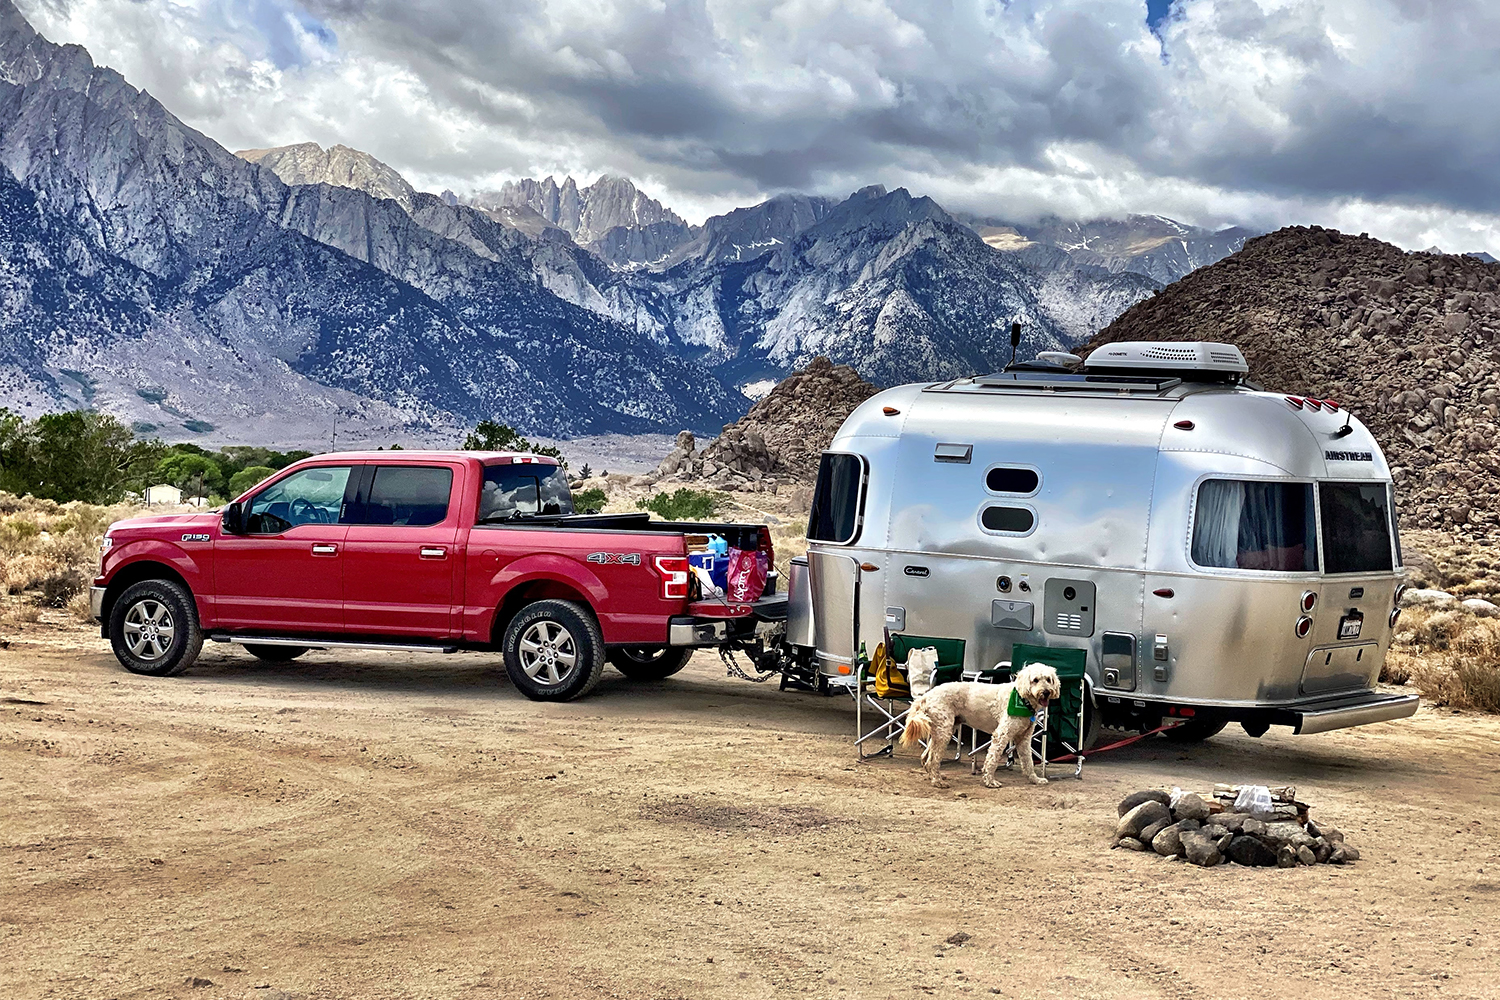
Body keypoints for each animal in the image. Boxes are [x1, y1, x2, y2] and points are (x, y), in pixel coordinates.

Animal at [894, 665, 1062, 791]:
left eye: (1048, 680)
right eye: (1035, 680)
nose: (1046, 692)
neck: (1022, 699)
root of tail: (927, 695)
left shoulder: (1024, 739)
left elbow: (1028, 762)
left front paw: (1035, 779)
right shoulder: (1001, 735)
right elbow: (992, 759)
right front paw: (990, 781)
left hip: (943, 730)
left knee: (925, 757)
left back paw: (935, 777)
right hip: (944, 732)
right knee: (932, 759)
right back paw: (937, 781)